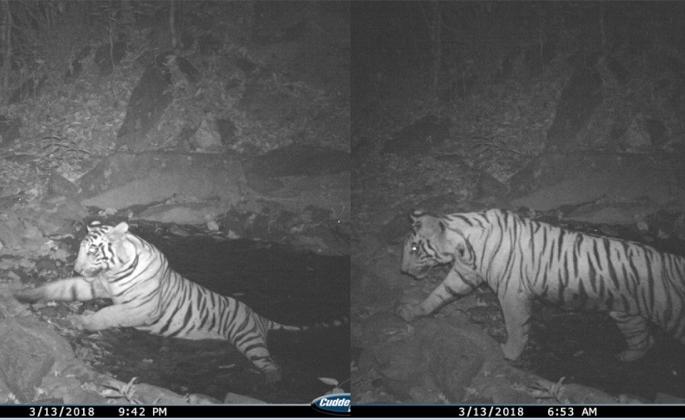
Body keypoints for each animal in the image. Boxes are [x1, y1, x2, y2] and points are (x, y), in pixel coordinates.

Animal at [14, 221, 346, 383]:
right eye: (82, 251)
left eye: (93, 251)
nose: (77, 267)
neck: (114, 270)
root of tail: (258, 315)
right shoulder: (93, 284)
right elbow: (61, 288)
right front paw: (24, 295)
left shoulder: (138, 308)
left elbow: (107, 313)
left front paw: (81, 322)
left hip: (248, 339)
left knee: (271, 363)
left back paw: (272, 380)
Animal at [398, 208, 685, 362]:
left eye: (413, 248)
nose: (402, 270)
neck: (465, 245)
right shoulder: (464, 274)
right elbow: (438, 294)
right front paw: (412, 312)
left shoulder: (511, 291)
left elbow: (516, 325)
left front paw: (509, 353)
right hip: (626, 313)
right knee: (643, 339)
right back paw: (627, 356)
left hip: (672, 315)